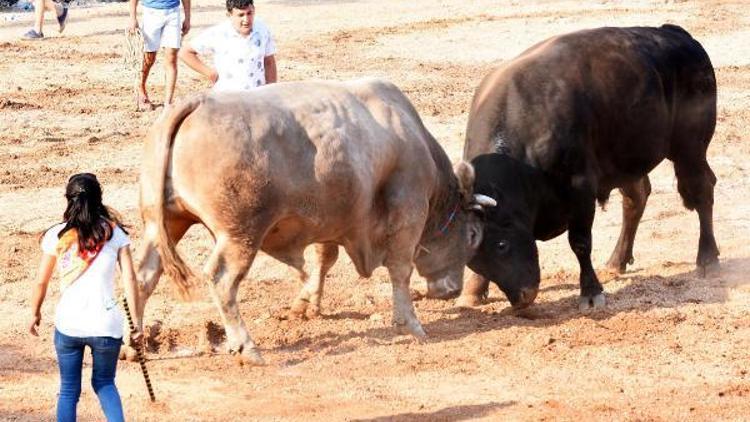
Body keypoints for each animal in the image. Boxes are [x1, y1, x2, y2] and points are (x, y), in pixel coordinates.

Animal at [134, 81, 496, 364]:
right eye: (473, 235)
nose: (452, 292)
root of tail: (197, 103)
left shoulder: (334, 220)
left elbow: (324, 260)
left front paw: (308, 303)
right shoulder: (408, 213)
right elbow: (400, 270)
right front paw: (410, 323)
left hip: (164, 224)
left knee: (143, 275)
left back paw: (133, 343)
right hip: (240, 235)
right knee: (222, 280)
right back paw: (247, 347)